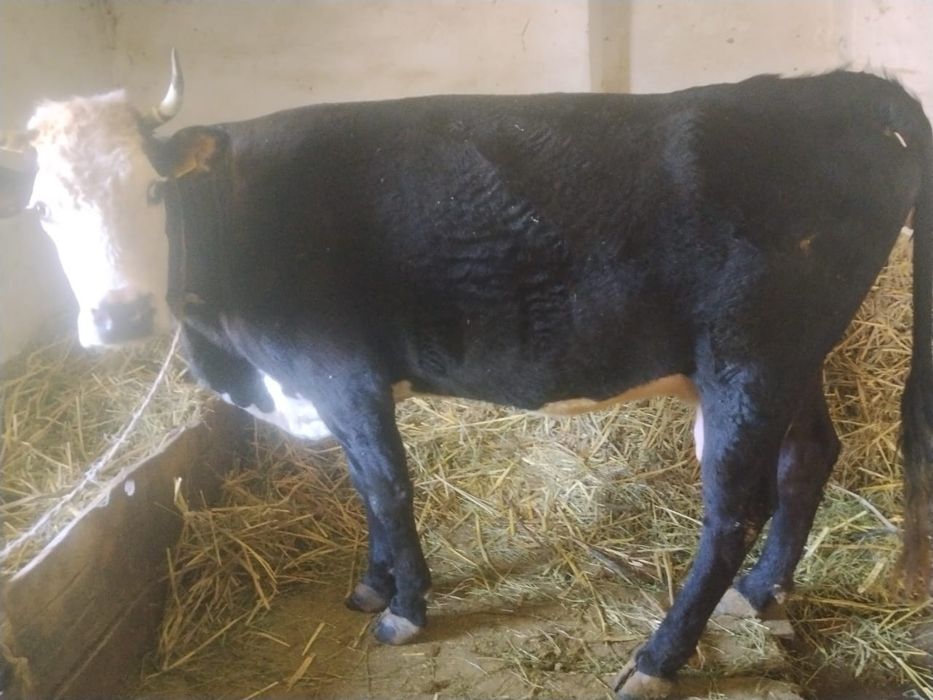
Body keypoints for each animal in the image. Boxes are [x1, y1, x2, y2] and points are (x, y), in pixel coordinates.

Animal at [2, 52, 931, 699]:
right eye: (42, 209)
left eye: (153, 192)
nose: (119, 315)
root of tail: (833, 90)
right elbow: (362, 486)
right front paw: (371, 586)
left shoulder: (343, 374)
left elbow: (385, 487)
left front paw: (405, 609)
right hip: (791, 359)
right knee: (808, 459)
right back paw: (762, 593)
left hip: (750, 357)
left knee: (732, 510)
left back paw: (658, 657)